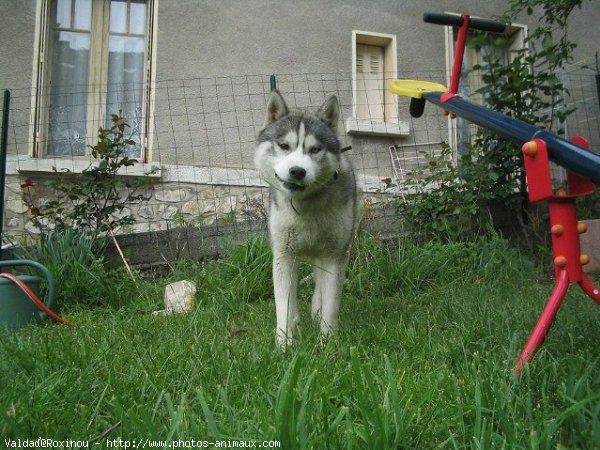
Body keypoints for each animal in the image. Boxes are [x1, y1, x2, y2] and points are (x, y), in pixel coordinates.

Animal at [253, 89, 356, 346]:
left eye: (315, 149)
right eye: (284, 146)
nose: (297, 171)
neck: (305, 206)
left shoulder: (333, 255)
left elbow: (330, 303)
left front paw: (327, 342)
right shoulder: (284, 255)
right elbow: (285, 304)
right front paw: (285, 343)